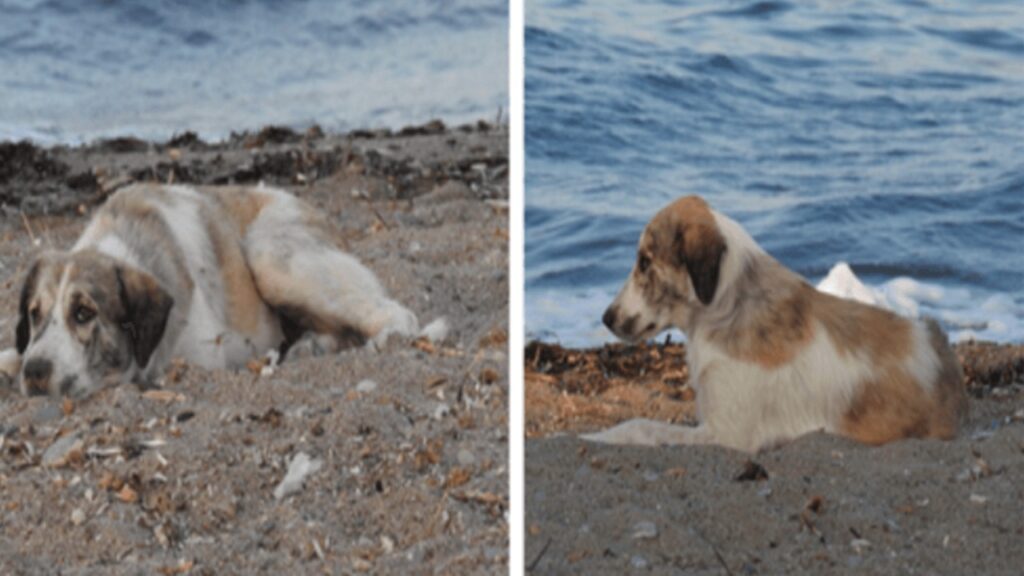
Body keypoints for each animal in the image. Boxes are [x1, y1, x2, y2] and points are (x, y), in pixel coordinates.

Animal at [585, 194, 966, 450]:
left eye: (644, 262)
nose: (606, 318)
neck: (728, 306)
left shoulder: (727, 434)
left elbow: (638, 426)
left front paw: (595, 435)